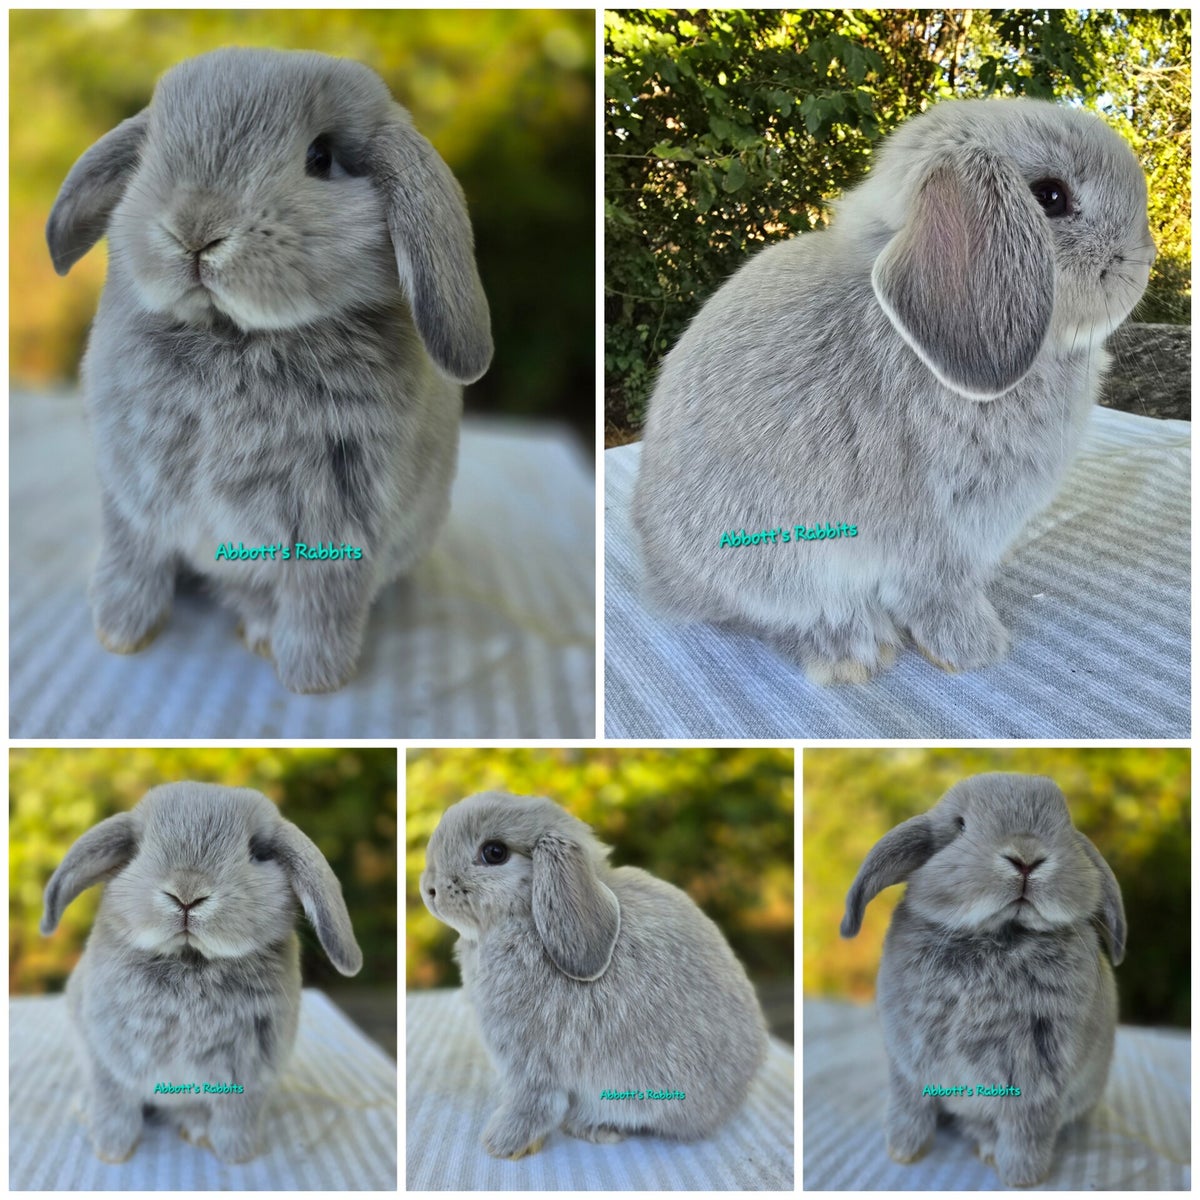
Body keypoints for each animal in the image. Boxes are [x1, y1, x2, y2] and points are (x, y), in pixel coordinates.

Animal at [40, 782, 363, 1163]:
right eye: (138, 849)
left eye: (258, 851)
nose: (187, 893)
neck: (191, 961)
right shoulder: (104, 1058)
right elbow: (115, 1106)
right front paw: (111, 1151)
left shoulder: (253, 1072)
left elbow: (236, 1116)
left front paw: (236, 1154)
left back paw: (194, 1127)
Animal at [46, 47, 492, 693]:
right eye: (151, 152)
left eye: (321, 158)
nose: (196, 229)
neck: (235, 337)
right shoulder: (131, 498)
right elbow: (133, 566)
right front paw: (120, 634)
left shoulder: (342, 530)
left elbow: (319, 606)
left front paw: (311, 679)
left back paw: (260, 633)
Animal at [420, 791, 768, 1158]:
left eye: (494, 852)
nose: (429, 889)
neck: (527, 919)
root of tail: (731, 1100)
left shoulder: (528, 1059)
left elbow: (535, 1103)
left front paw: (500, 1144)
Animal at [632, 99, 1154, 684]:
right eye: (1050, 196)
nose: (1146, 257)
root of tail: (661, 576)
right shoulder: (934, 535)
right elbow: (936, 595)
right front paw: (977, 649)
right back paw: (852, 650)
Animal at [840, 772, 1126, 1186]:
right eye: (959, 826)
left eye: (1066, 828)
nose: (1026, 857)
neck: (999, 937)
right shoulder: (907, 1062)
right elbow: (909, 1108)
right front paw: (903, 1153)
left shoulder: (1039, 1080)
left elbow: (1026, 1131)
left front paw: (1021, 1178)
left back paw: (989, 1150)